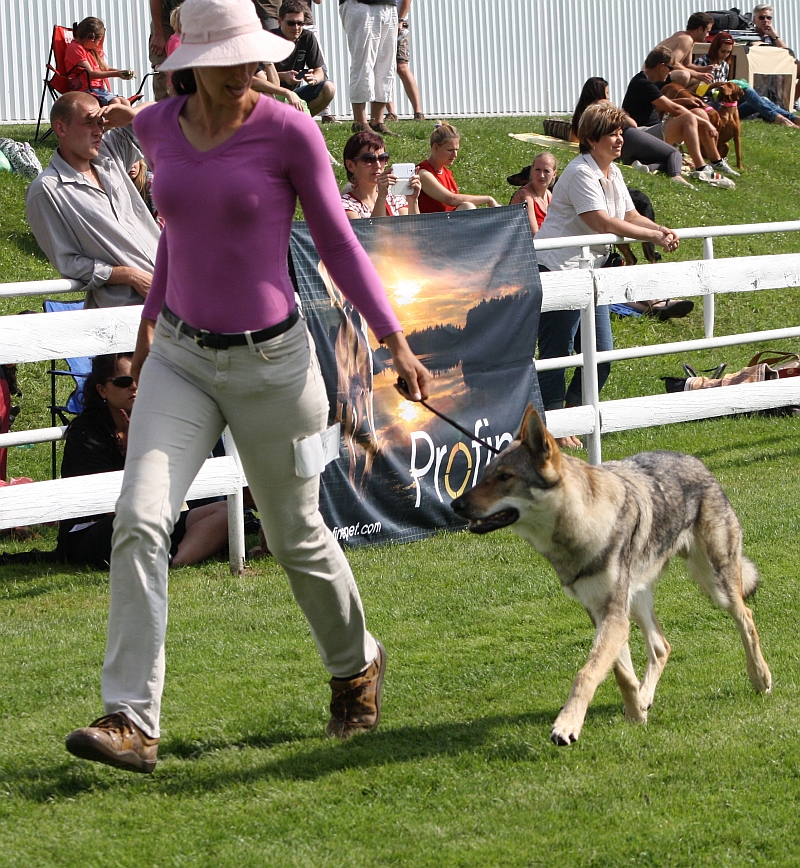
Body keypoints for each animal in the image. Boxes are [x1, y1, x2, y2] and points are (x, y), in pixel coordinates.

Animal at [450, 406, 768, 744]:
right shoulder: (602, 614)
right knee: (661, 646)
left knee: (746, 618)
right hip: (637, 599)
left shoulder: (613, 616)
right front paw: (636, 715)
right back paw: (645, 698)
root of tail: (694, 460)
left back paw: (761, 678)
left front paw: (567, 724)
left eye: (505, 477)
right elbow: (621, 673)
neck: (579, 527)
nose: (455, 504)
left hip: (714, 584)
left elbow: (585, 673)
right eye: (484, 475)